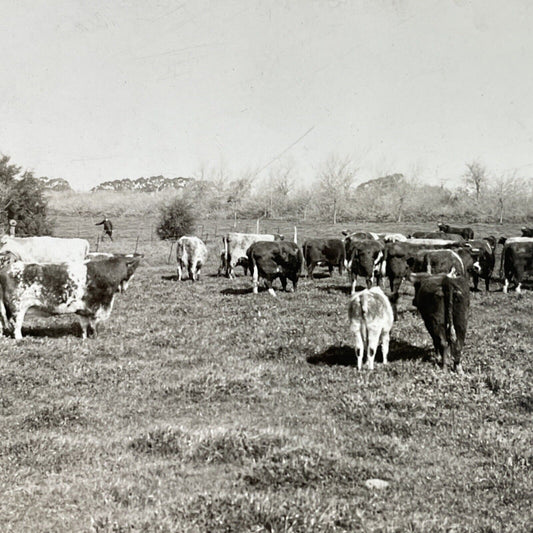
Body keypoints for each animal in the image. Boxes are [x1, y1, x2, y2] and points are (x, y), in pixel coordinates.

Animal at [0, 255, 141, 340]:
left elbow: (84, 325)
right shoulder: (95, 307)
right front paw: (95, 337)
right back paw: (20, 340)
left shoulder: (83, 310)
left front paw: (84, 338)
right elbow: (94, 325)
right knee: (16, 326)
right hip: (17, 309)